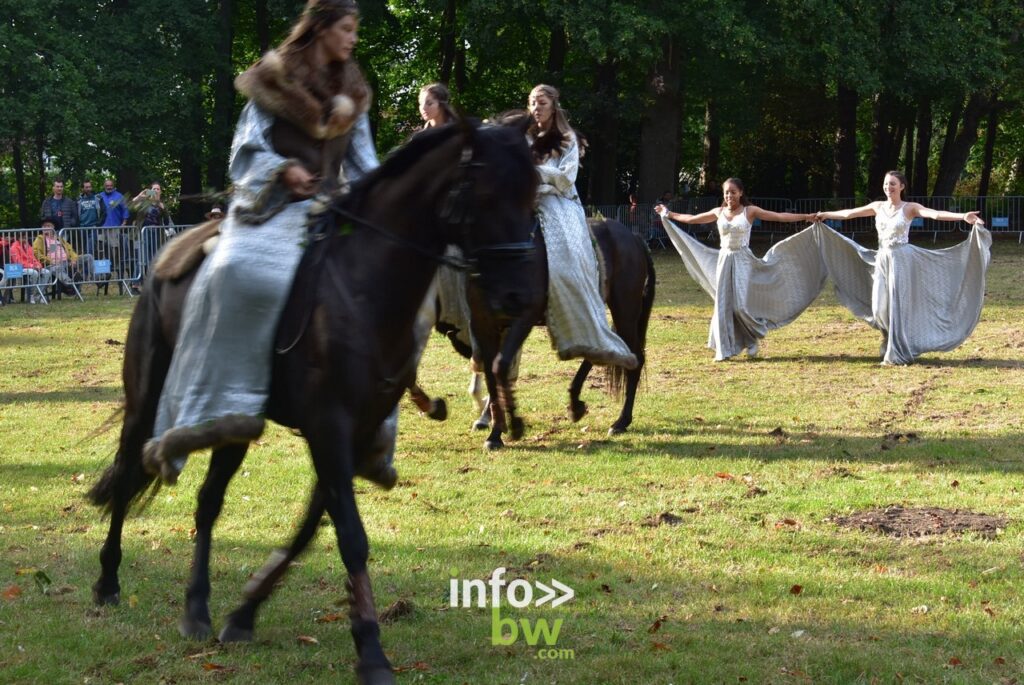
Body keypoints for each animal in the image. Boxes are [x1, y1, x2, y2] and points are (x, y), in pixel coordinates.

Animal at [89, 118, 540, 683]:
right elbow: (349, 533)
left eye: (533, 193)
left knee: (208, 500)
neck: (363, 288)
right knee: (130, 470)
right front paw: (371, 650)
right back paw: (108, 582)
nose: (521, 297)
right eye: (486, 193)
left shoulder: (356, 430)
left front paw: (244, 613)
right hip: (146, 400)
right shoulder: (328, 426)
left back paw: (196, 607)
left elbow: (312, 524)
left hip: (235, 414)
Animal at [466, 215, 655, 448]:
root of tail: (634, 237)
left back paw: (620, 421)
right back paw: (576, 404)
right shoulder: (484, 325)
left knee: (634, 358)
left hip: (625, 310)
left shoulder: (523, 318)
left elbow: (499, 367)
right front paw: (495, 431)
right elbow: (492, 374)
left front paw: (511, 425)